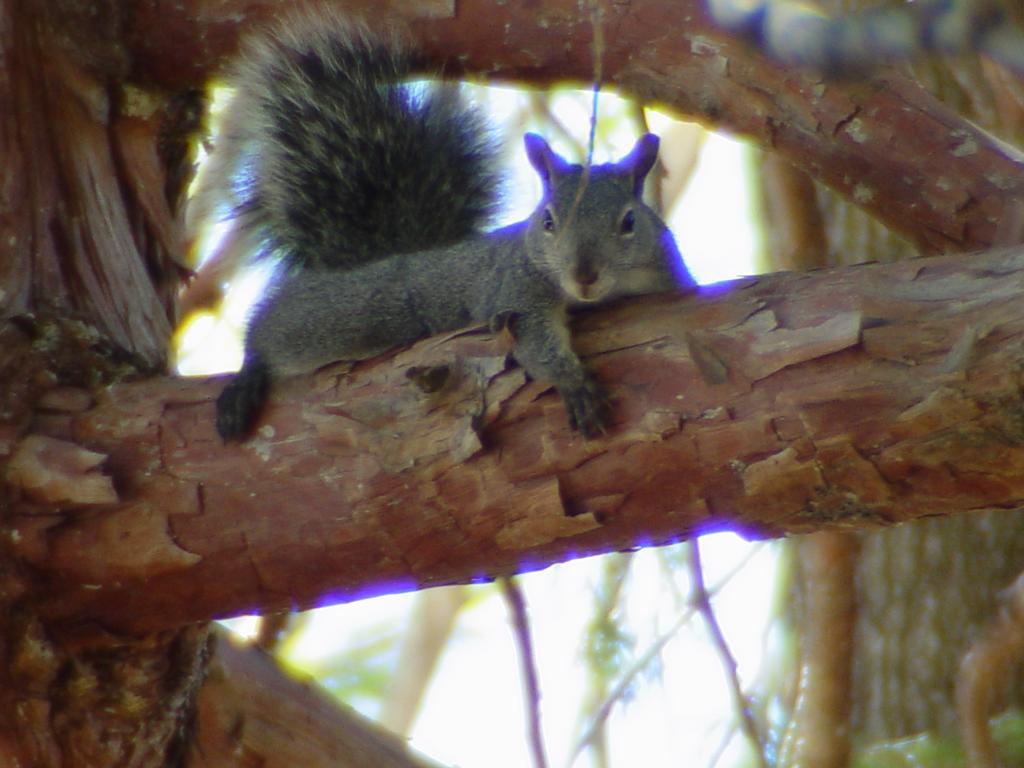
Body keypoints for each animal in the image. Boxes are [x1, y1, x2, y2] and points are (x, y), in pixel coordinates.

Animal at [195, 12, 696, 442]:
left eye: (629, 221)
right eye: (547, 220)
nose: (584, 275)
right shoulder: (514, 292)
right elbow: (536, 340)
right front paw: (574, 383)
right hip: (344, 314)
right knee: (268, 331)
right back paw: (244, 384)